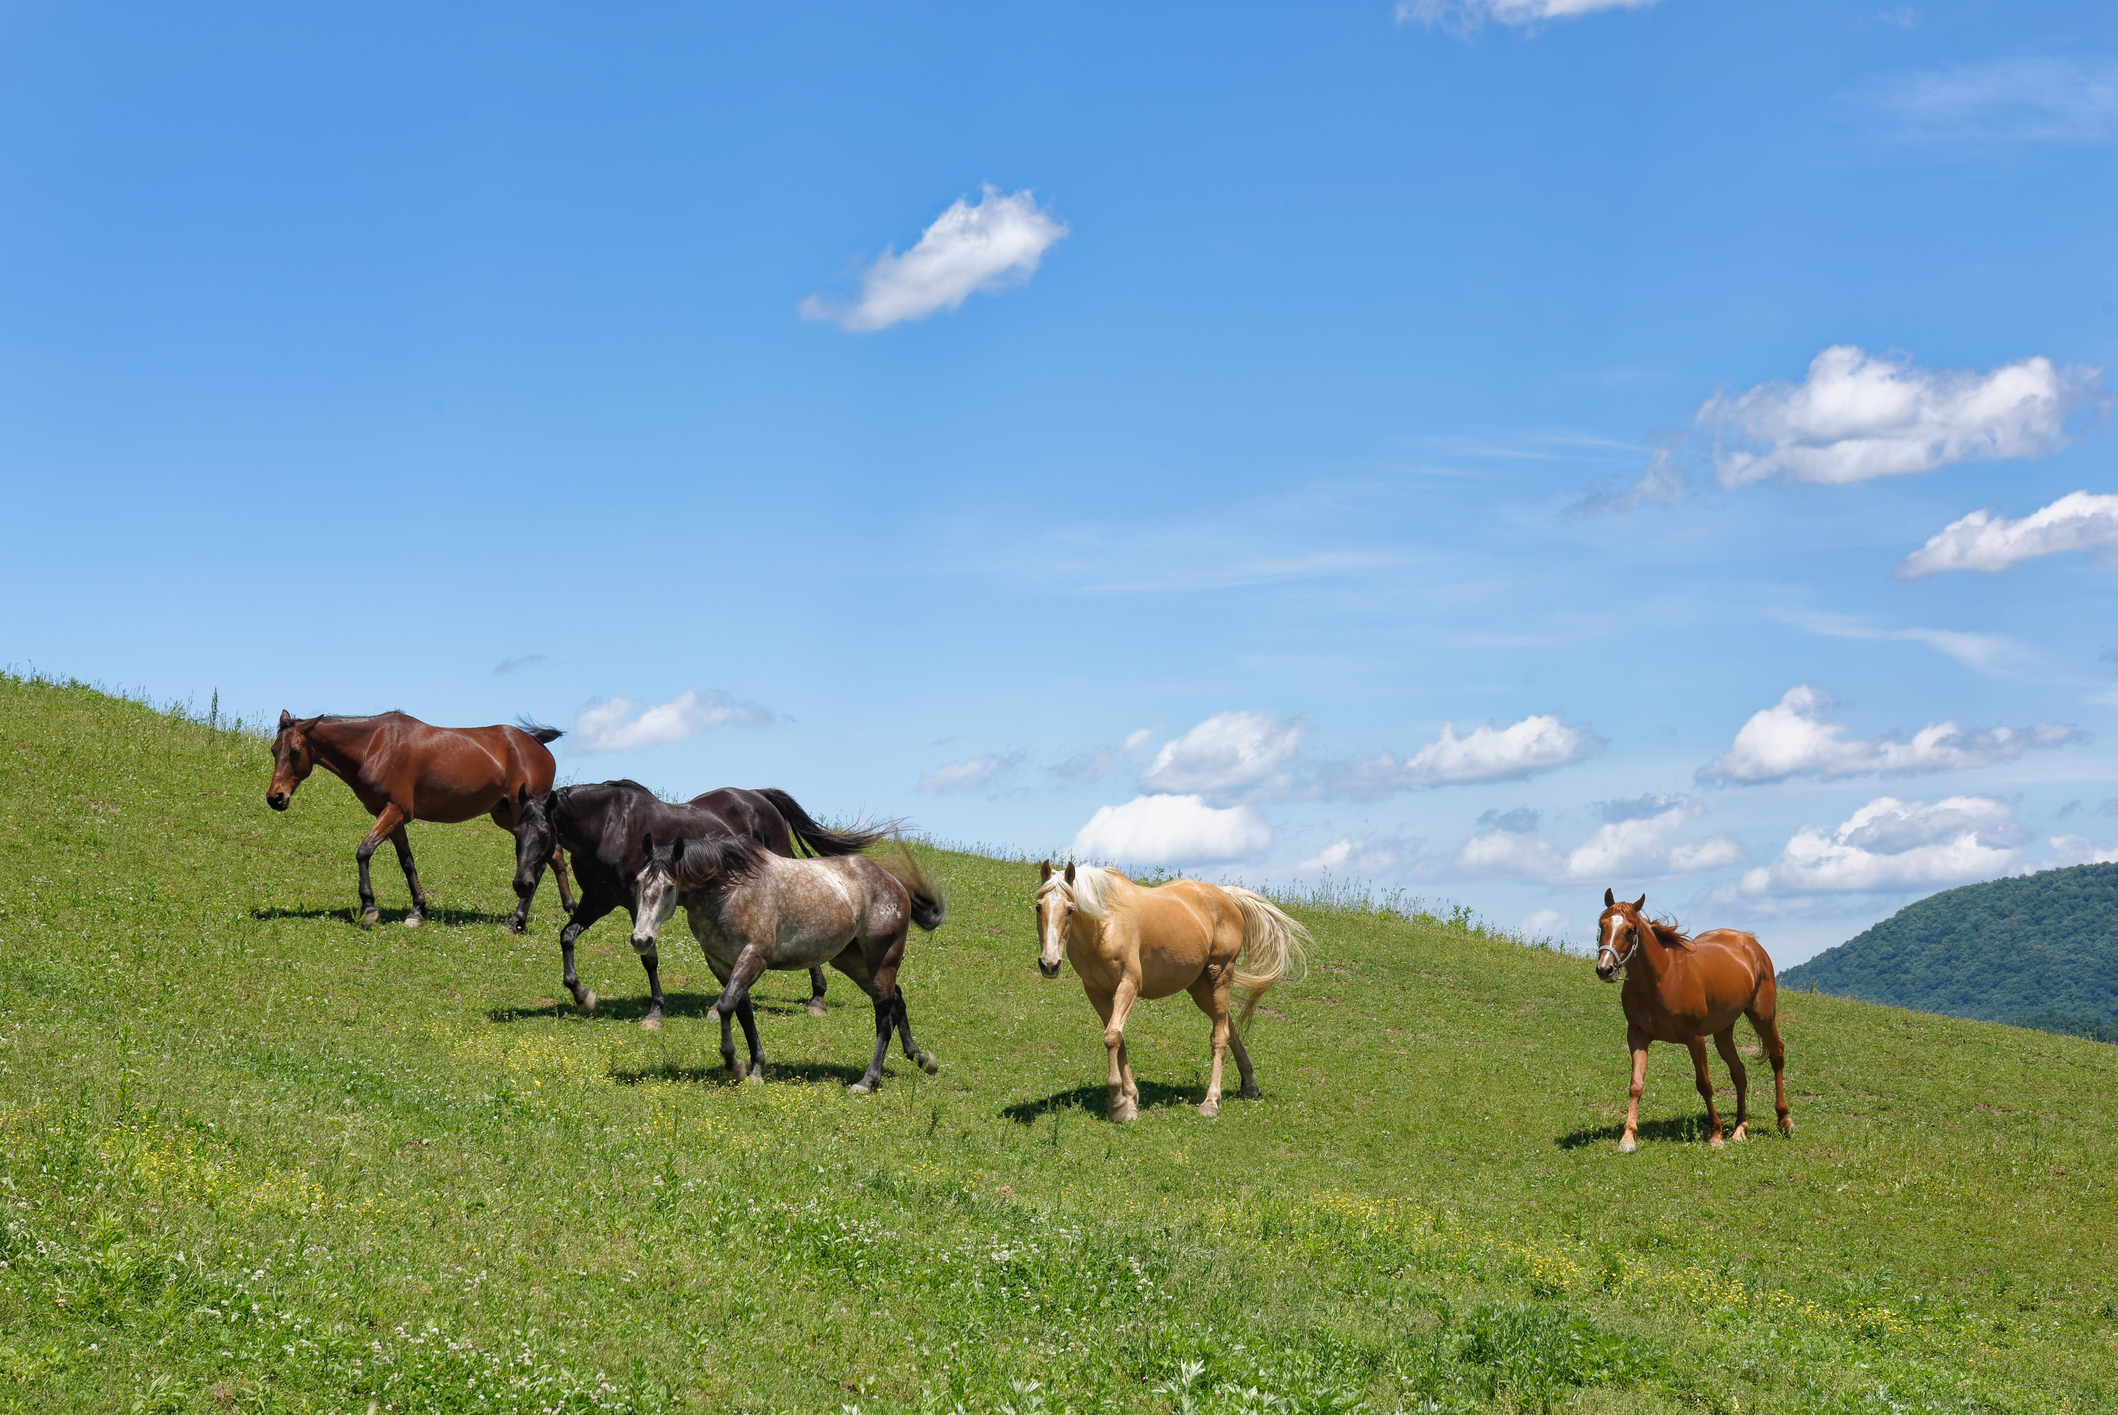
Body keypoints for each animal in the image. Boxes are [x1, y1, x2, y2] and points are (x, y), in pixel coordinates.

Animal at [266, 710, 573, 930]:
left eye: (295, 752)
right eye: (273, 750)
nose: (275, 798)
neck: (374, 746)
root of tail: (536, 743)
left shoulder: (395, 811)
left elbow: (364, 851)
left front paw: (369, 907)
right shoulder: (393, 817)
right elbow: (407, 862)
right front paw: (418, 911)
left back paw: (517, 919)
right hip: (507, 816)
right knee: (554, 855)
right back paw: (566, 906)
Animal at [509, 782, 884, 1028]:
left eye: (545, 834)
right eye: (515, 831)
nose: (522, 883)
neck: (609, 826)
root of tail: (759, 797)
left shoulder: (636, 904)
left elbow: (649, 958)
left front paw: (655, 1012)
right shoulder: (597, 900)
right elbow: (567, 936)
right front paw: (581, 994)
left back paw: (817, 998)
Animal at [630, 833, 944, 1092]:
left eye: (669, 887)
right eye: (638, 881)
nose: (641, 939)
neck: (730, 889)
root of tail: (895, 883)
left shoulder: (754, 956)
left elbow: (726, 1005)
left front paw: (734, 1066)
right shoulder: (722, 964)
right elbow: (744, 1013)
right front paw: (756, 1069)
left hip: (882, 962)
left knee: (883, 1018)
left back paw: (868, 1081)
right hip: (852, 963)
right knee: (897, 999)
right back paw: (921, 1057)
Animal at [1033, 861, 1310, 1121]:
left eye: (1070, 909)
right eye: (1038, 906)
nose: (1049, 964)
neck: (1104, 924)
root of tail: (1224, 895)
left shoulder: (1129, 985)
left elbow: (1112, 1037)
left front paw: (1118, 1104)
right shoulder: (1096, 992)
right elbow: (1118, 1040)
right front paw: (1130, 1098)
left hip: (1219, 976)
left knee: (1219, 1037)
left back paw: (1211, 1101)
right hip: (1199, 987)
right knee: (1227, 1025)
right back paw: (1249, 1083)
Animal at [1595, 888, 1792, 1152]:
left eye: (1630, 930)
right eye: (1602, 925)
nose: (1605, 969)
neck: (1661, 977)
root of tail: (1750, 941)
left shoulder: (1695, 1039)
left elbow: (1704, 1085)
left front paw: (1716, 1134)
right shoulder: (1637, 1036)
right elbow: (1635, 1085)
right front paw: (1628, 1138)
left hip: (1763, 1018)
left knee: (1777, 1055)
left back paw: (1784, 1119)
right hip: (1723, 1031)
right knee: (1739, 1073)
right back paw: (1740, 1129)